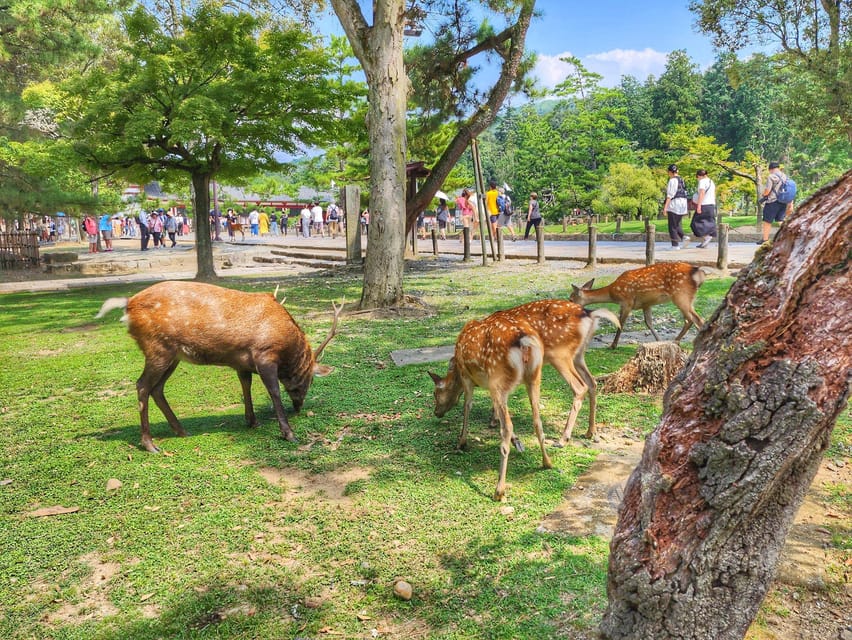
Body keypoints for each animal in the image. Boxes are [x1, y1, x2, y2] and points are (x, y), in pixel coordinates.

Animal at [96, 281, 342, 453]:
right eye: (309, 379)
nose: (299, 407)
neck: (286, 344)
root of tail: (127, 305)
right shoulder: (264, 354)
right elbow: (273, 392)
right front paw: (288, 433)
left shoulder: (242, 362)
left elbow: (245, 386)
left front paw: (252, 421)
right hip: (158, 348)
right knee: (142, 385)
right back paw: (149, 444)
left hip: (173, 356)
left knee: (157, 388)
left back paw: (181, 430)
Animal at [428, 300, 620, 501]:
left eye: (435, 392)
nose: (436, 412)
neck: (457, 366)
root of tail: (590, 314)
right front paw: (507, 433)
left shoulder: (470, 379)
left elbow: (467, 406)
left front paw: (461, 442)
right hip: (564, 361)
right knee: (589, 385)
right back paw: (582, 438)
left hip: (556, 356)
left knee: (579, 387)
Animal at [569, 262, 705, 349]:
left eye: (571, 298)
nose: (569, 307)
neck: (613, 293)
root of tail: (698, 273)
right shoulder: (646, 304)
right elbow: (649, 322)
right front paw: (659, 341)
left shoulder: (627, 301)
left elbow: (620, 323)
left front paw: (613, 345)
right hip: (687, 298)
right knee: (690, 320)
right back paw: (676, 341)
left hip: (681, 295)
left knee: (697, 320)